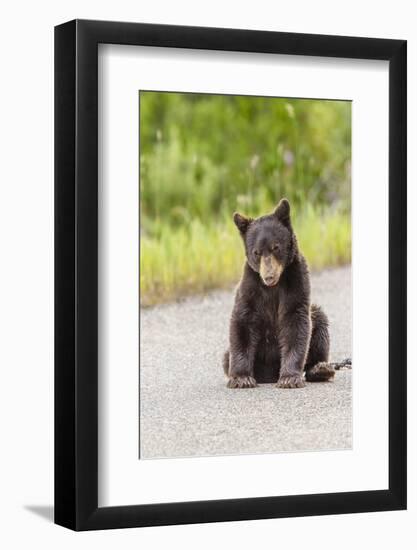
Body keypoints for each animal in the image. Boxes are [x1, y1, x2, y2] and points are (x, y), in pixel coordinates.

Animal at [223, 198, 334, 388]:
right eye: (256, 252)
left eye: (276, 247)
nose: (269, 276)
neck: (272, 287)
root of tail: (270, 374)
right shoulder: (250, 288)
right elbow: (242, 322)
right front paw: (241, 378)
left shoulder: (295, 283)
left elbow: (296, 321)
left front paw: (289, 378)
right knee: (226, 357)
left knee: (319, 324)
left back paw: (320, 369)